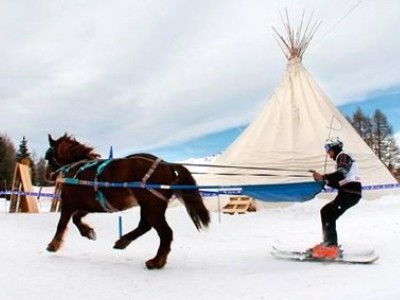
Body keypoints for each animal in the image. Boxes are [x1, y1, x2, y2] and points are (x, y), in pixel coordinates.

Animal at [45, 134, 211, 270]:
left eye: (48, 156)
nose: (47, 175)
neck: (78, 169)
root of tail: (166, 164)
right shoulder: (89, 205)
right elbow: (76, 218)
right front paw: (88, 232)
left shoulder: (69, 203)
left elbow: (62, 223)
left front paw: (53, 245)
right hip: (148, 206)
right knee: (145, 226)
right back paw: (124, 242)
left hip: (151, 207)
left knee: (165, 232)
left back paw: (156, 261)